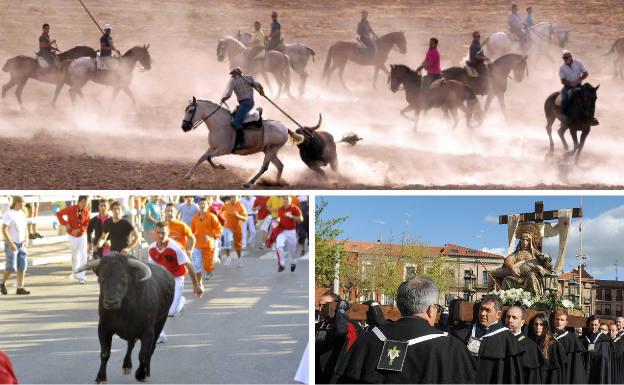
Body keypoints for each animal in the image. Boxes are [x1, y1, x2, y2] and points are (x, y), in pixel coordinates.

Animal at [77, 254, 177, 382]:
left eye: (123, 278)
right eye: (102, 278)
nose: (111, 302)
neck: (123, 312)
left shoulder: (147, 331)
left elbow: (143, 355)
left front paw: (140, 374)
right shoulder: (103, 328)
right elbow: (105, 353)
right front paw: (101, 377)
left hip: (160, 322)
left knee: (151, 349)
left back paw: (147, 372)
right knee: (131, 344)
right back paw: (126, 366)